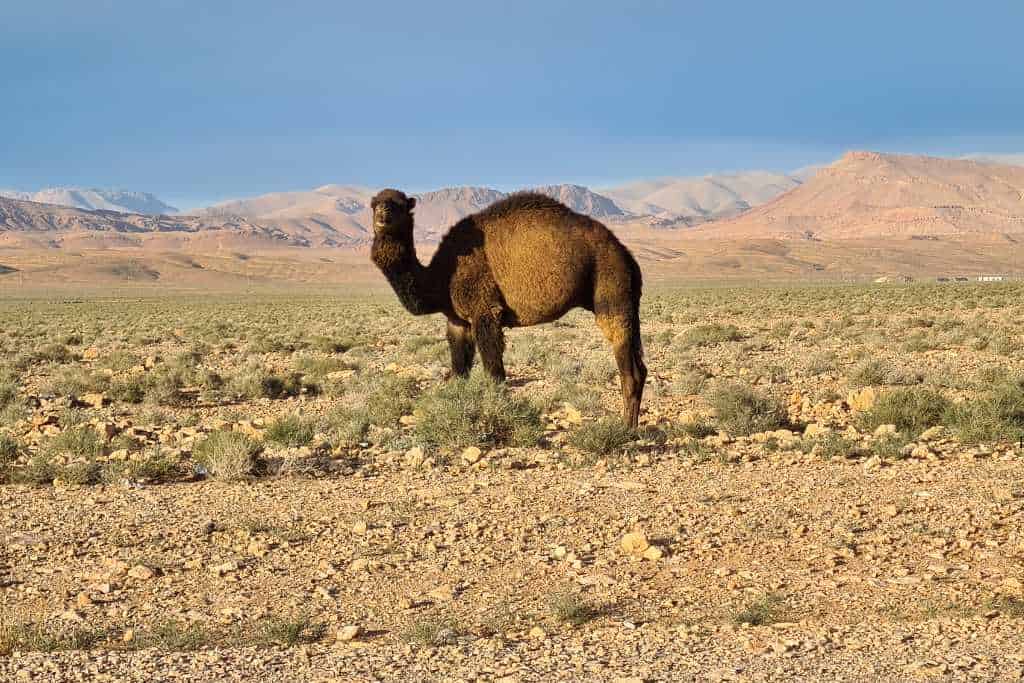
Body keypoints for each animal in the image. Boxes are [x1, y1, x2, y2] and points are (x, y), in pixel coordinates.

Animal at [370, 188, 647, 428]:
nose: (383, 212)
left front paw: (498, 414)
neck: (441, 278)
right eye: (374, 203)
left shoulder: (485, 310)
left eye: (399, 204)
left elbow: (494, 373)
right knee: (641, 367)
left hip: (611, 285)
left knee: (628, 365)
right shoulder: (457, 320)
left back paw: (626, 429)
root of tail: (626, 254)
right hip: (627, 296)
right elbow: (459, 371)